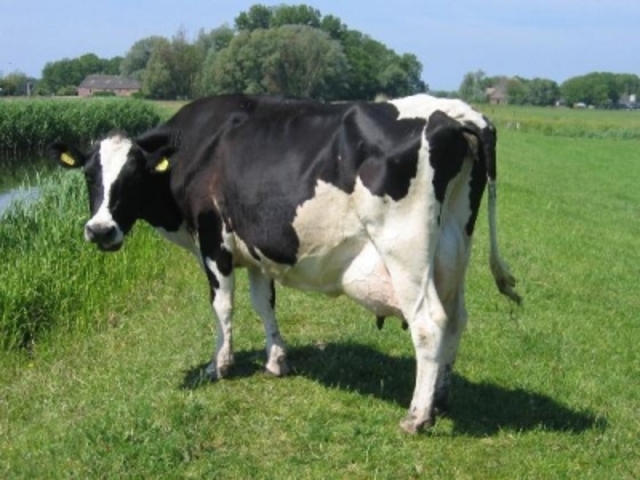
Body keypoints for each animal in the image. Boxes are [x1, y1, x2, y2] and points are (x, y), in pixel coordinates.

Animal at [49, 93, 520, 433]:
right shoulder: (256, 245)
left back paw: (417, 416)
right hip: (452, 247)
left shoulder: (213, 237)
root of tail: (454, 114)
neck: (196, 146)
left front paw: (219, 365)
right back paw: (440, 397)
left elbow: (222, 306)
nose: (99, 229)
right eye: (90, 175)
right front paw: (277, 360)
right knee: (456, 318)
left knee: (429, 324)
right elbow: (264, 302)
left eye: (131, 177)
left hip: (406, 250)